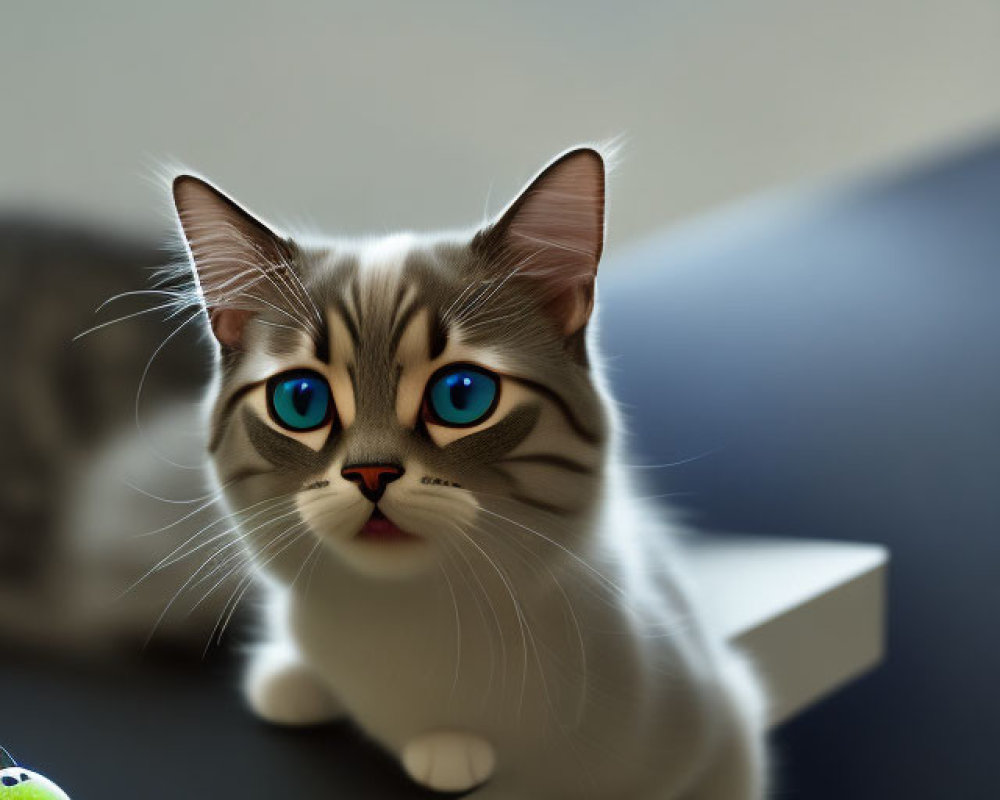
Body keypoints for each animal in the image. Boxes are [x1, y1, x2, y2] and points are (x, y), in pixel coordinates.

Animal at [170, 147, 764, 796]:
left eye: (461, 395)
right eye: (301, 401)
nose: (371, 474)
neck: (400, 619)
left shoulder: (720, 735)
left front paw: (450, 756)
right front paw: (291, 681)